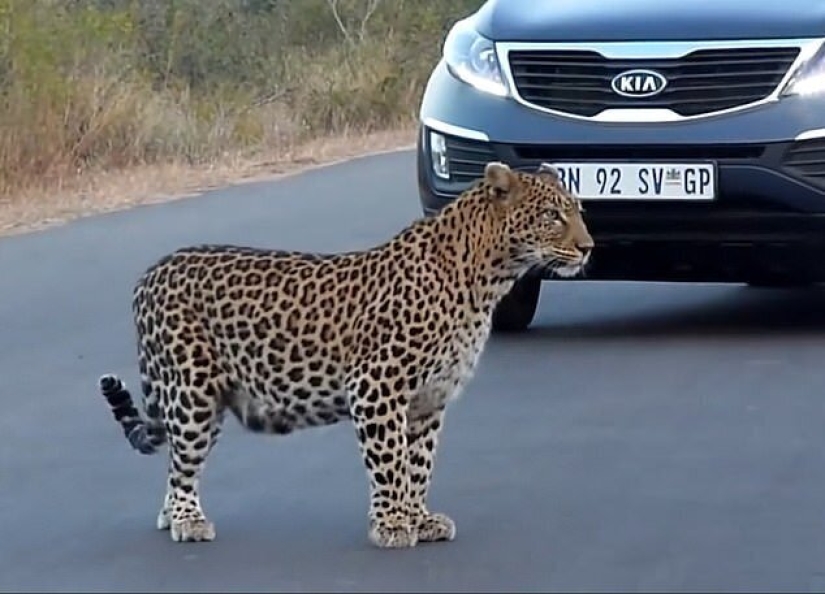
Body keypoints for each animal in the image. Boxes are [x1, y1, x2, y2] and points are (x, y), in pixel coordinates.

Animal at [98, 160, 594, 548]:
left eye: (579, 212)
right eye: (551, 216)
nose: (588, 247)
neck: (486, 277)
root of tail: (152, 271)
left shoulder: (429, 400)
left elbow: (420, 463)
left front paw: (419, 519)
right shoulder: (377, 387)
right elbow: (390, 462)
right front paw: (391, 524)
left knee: (178, 462)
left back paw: (173, 515)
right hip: (191, 392)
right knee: (183, 462)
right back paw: (187, 519)